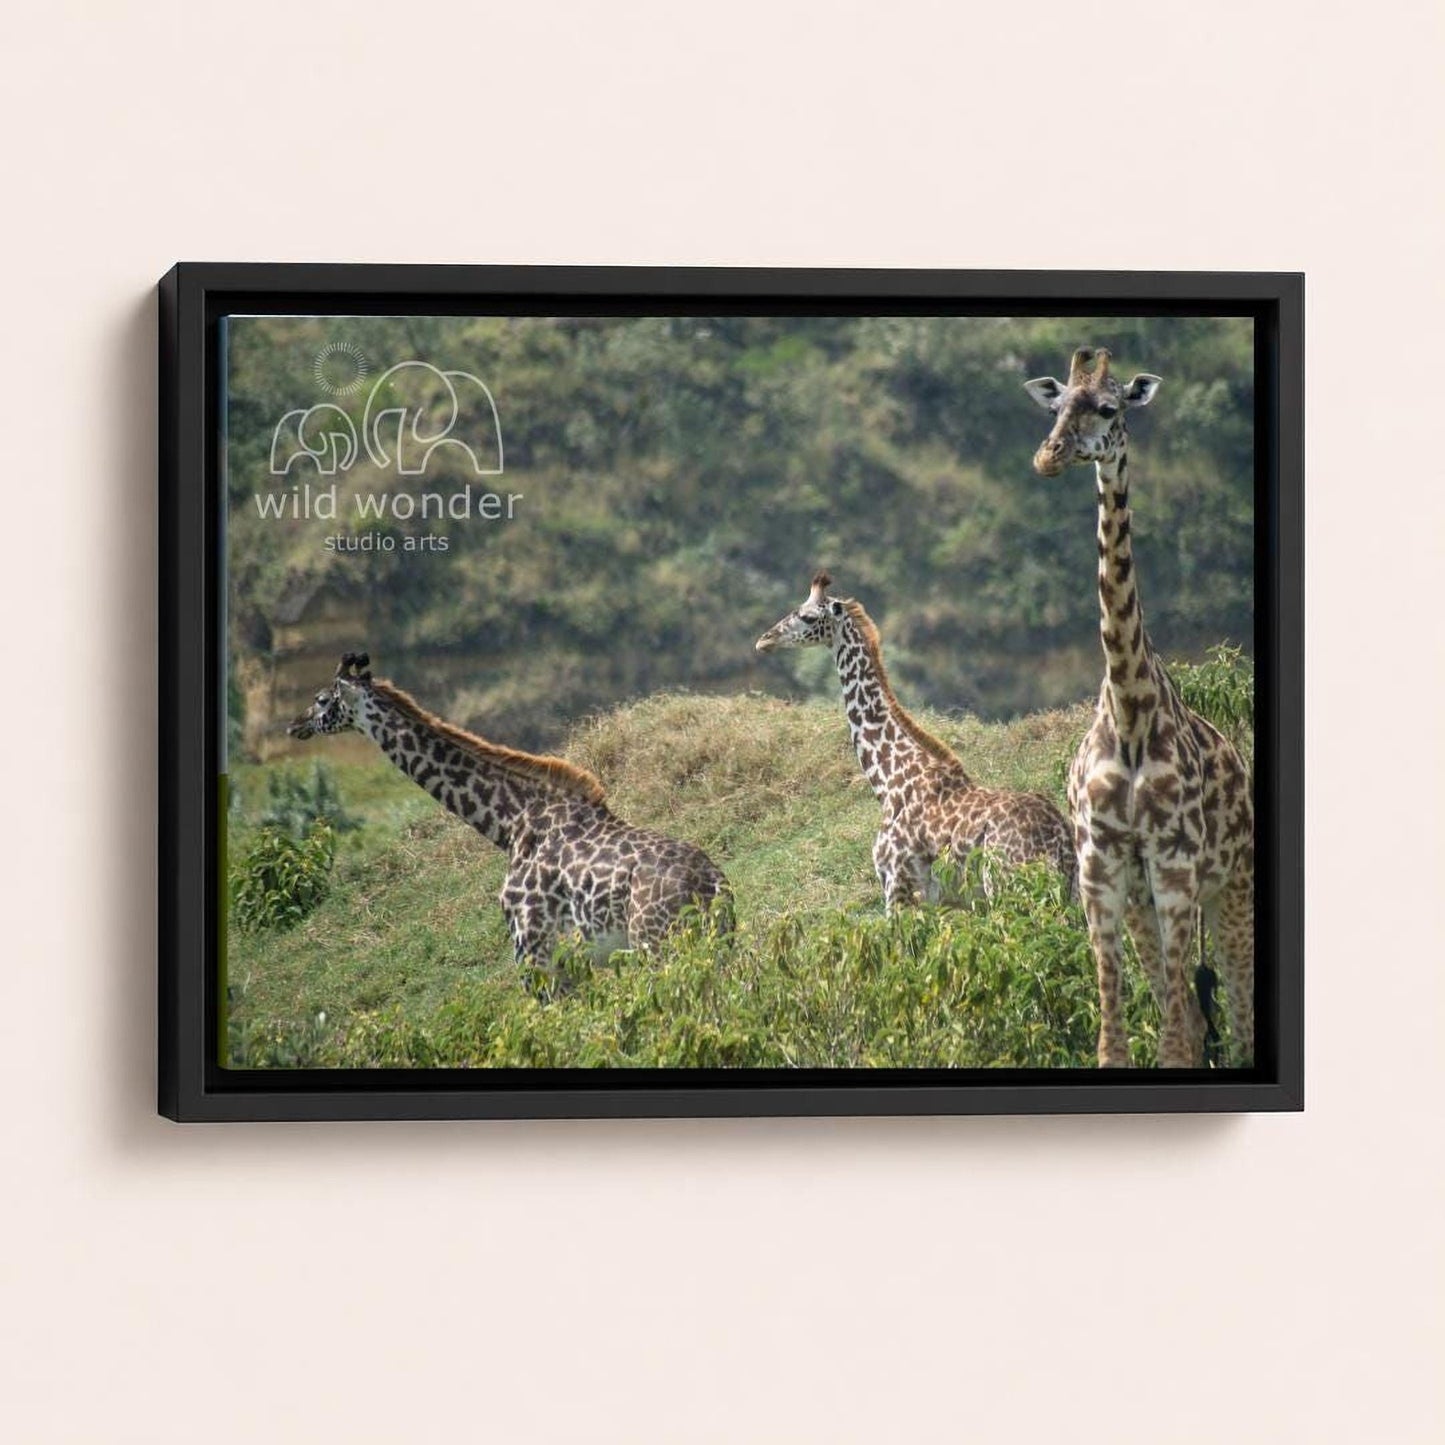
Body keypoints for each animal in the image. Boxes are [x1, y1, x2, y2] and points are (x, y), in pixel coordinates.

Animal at [287, 653, 732, 969]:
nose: (294, 725)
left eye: (321, 699)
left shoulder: (533, 951)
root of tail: (712, 886)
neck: (510, 822)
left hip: (656, 945)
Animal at [755, 573, 1076, 910]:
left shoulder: (897, 885)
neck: (889, 779)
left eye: (807, 616)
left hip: (1006, 887)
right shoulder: (942, 900)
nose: (765, 640)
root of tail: (1061, 840)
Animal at [1024, 346, 1254, 1068]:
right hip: (1148, 896)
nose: (1047, 456)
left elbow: (1178, 1035)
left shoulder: (1175, 865)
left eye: (1107, 407)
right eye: (1055, 403)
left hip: (1230, 885)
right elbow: (1116, 1032)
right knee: (1192, 1007)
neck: (1128, 711)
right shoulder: (1100, 864)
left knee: (1234, 1011)